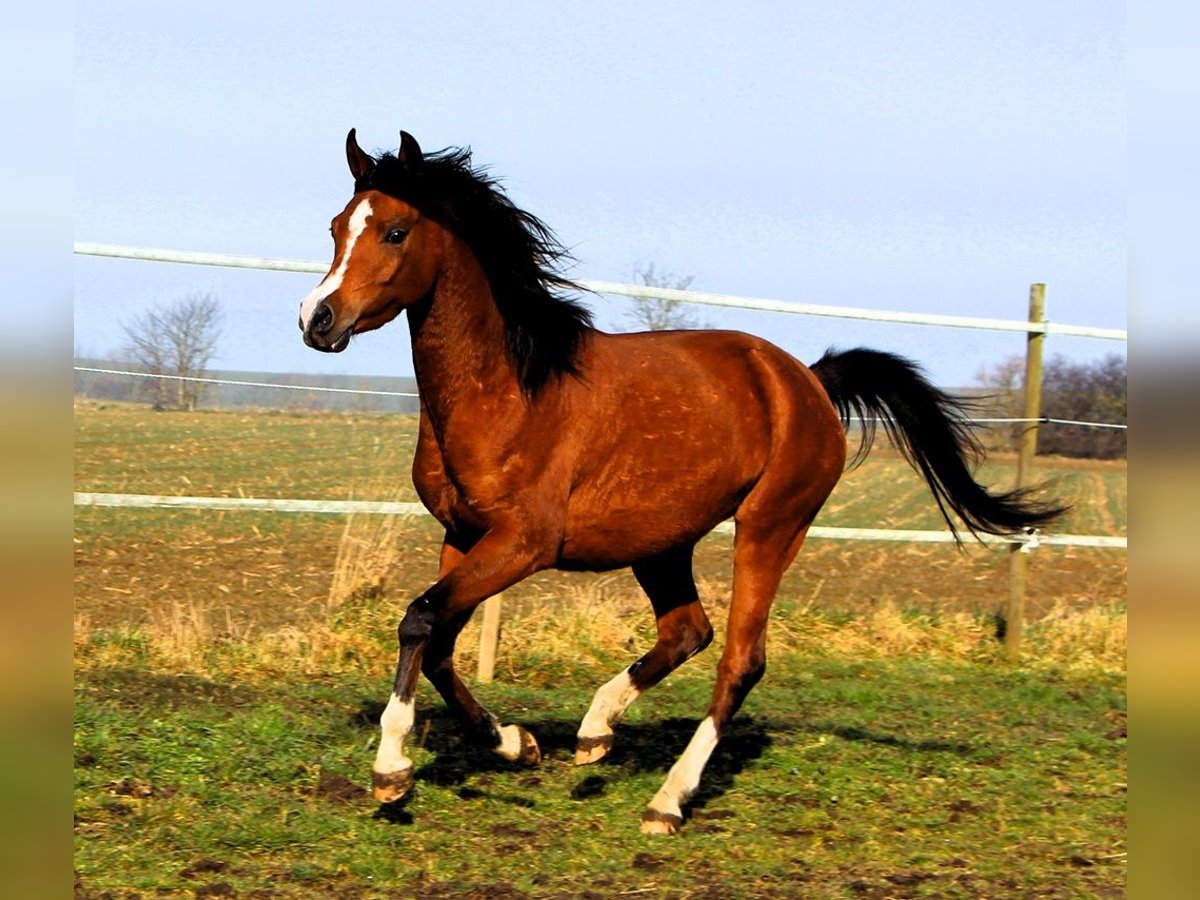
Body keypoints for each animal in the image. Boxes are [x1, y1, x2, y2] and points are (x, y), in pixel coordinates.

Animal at [295, 128, 1065, 840]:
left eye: (395, 230)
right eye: (335, 227)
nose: (316, 320)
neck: (511, 390)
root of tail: (807, 380)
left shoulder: (522, 543)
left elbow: (420, 619)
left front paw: (391, 771)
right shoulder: (463, 534)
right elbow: (439, 643)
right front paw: (517, 745)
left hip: (769, 526)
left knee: (739, 659)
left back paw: (666, 799)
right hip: (661, 541)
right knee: (688, 630)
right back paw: (595, 732)